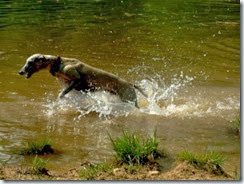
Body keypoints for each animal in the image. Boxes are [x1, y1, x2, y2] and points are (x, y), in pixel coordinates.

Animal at [18, 54, 147, 107]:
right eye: (26, 62)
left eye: (30, 62)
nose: (20, 72)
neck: (59, 63)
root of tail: (130, 84)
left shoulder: (76, 80)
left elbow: (62, 94)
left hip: (129, 99)